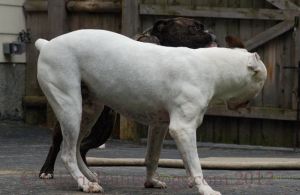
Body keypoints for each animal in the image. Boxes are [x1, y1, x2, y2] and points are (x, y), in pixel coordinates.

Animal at [35, 29, 268, 194]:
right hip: (70, 108)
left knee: (76, 147)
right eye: (261, 80)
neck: (212, 66)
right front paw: (205, 189)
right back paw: (83, 184)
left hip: (88, 112)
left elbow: (152, 157)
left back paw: (88, 177)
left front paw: (150, 182)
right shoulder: (183, 129)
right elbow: (195, 163)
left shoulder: (159, 126)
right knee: (67, 152)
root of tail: (47, 44)